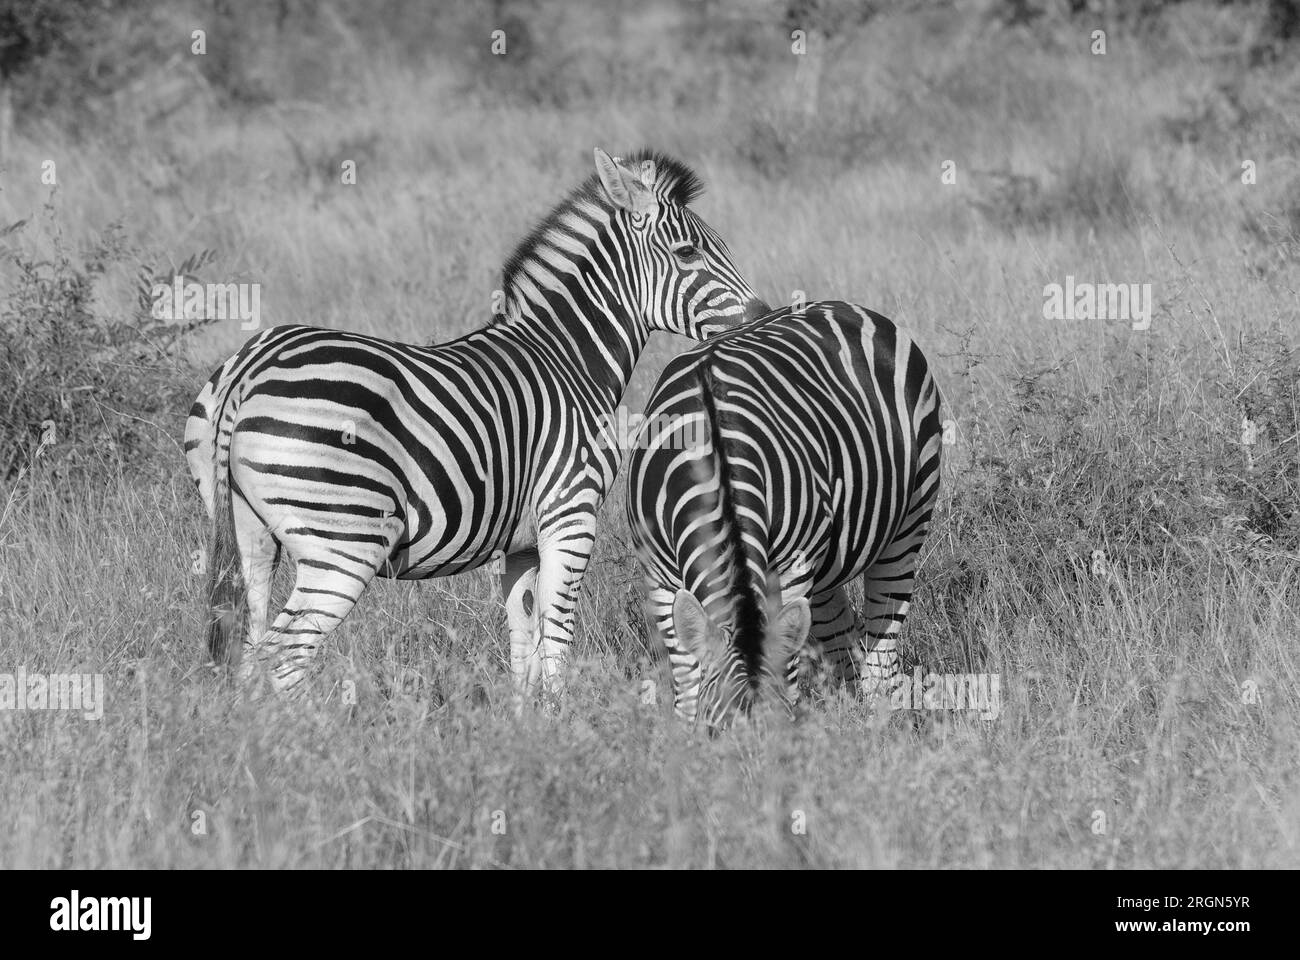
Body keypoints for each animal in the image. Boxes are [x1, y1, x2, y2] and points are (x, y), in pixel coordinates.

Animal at [184, 148, 767, 700]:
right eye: (688, 253)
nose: (762, 317)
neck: (568, 359)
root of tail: (249, 365)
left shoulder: (521, 545)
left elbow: (523, 648)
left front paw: (525, 725)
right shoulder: (570, 514)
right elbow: (556, 642)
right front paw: (562, 722)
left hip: (250, 534)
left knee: (251, 649)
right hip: (344, 542)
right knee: (282, 655)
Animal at [625, 300, 943, 730]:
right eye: (714, 731)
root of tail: (840, 305)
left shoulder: (793, 567)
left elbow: (784, 671)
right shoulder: (658, 579)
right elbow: (688, 685)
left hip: (907, 525)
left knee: (882, 654)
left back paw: (880, 724)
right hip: (827, 561)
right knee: (844, 645)